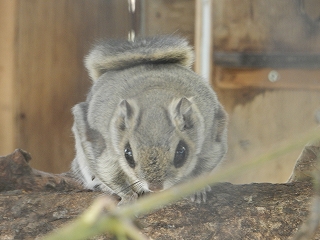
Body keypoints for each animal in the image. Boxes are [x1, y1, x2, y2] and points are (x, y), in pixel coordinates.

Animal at [71, 35, 229, 204]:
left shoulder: (210, 140)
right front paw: (128, 197)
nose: (155, 187)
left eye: (181, 153)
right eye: (128, 154)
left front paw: (197, 189)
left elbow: (205, 166)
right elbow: (110, 175)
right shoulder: (103, 148)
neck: (154, 95)